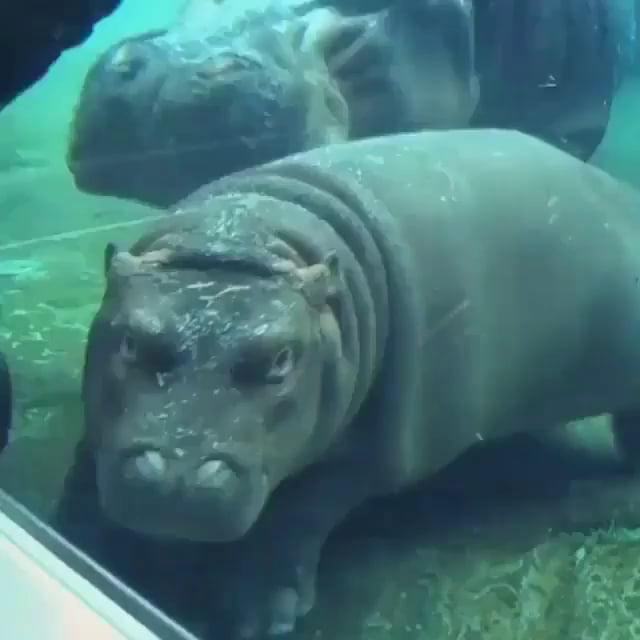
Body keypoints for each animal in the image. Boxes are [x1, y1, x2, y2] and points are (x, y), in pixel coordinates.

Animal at [54, 128, 640, 638]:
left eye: (282, 359)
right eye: (130, 342)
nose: (173, 482)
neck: (243, 243)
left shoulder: (376, 454)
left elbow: (301, 510)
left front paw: (263, 617)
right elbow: (86, 463)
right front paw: (76, 540)